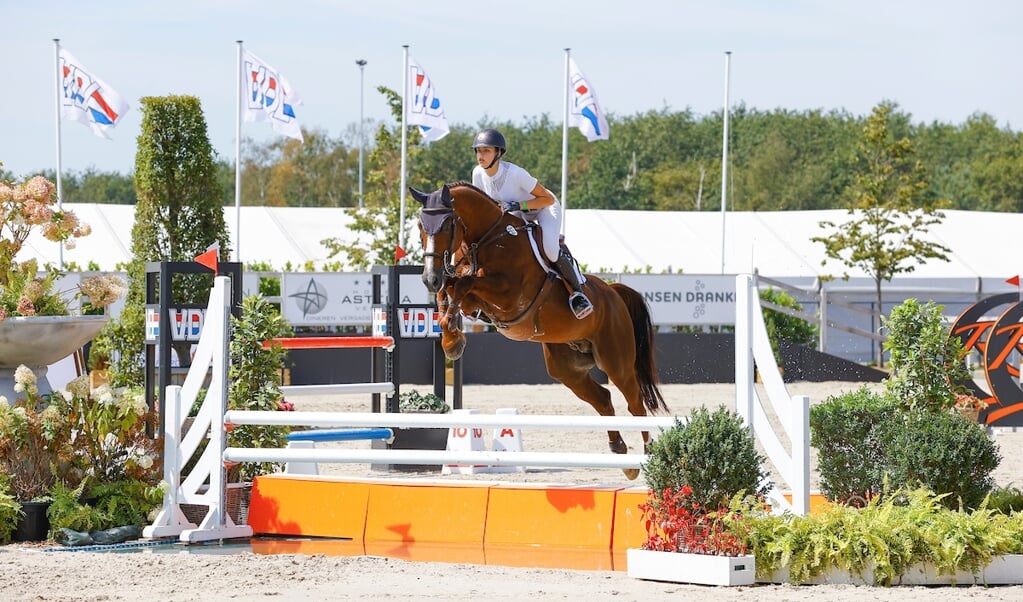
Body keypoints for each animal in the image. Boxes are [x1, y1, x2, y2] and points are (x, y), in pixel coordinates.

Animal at [409, 181, 671, 477]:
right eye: (420, 226)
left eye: (446, 224)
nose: (429, 278)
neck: (486, 238)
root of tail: (613, 292)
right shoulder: (472, 295)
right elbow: (451, 289)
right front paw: (451, 340)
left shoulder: (509, 295)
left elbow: (463, 284)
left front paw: (453, 339)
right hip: (566, 368)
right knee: (603, 398)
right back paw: (620, 454)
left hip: (616, 360)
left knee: (634, 401)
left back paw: (646, 455)